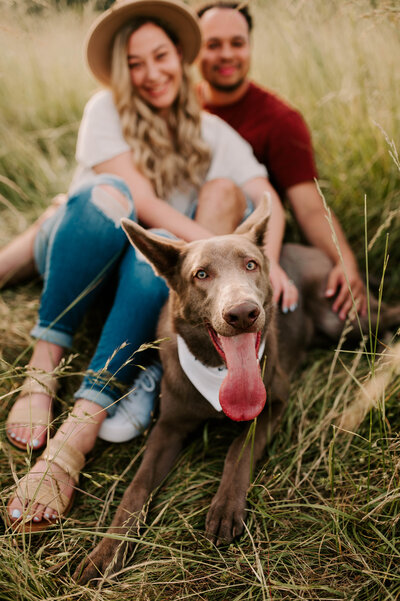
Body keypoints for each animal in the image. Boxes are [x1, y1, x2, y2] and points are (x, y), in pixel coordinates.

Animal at [76, 193, 400, 580]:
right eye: (201, 274)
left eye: (250, 265)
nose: (243, 312)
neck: (218, 373)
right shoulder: (167, 426)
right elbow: (137, 486)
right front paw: (106, 550)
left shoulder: (274, 403)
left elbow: (238, 449)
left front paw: (226, 506)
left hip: (345, 319)